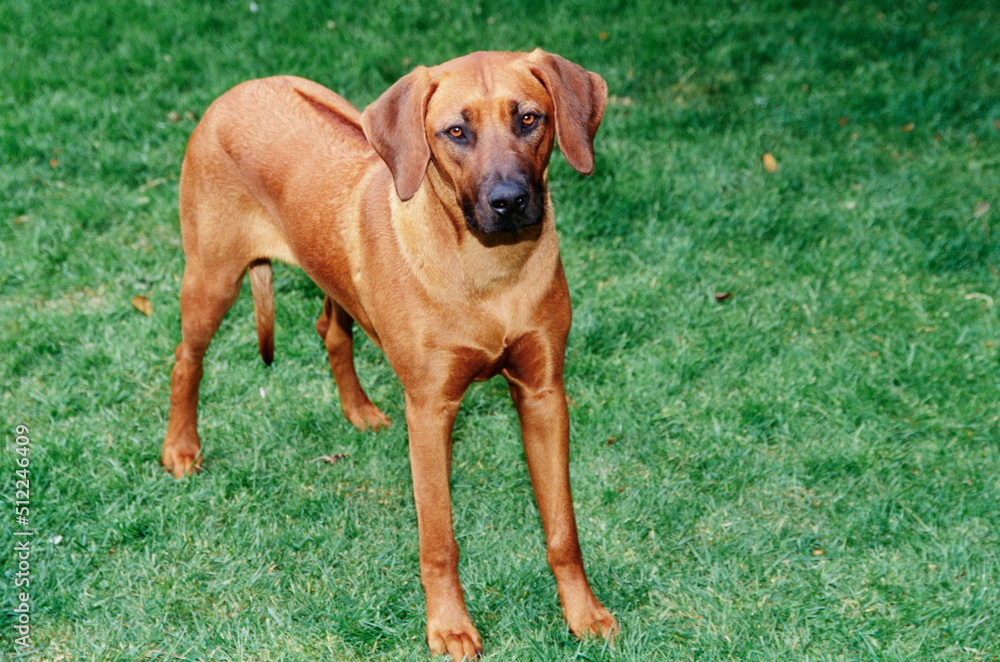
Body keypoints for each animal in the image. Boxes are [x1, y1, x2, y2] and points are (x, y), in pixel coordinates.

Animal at [161, 50, 612, 660]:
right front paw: (449, 627)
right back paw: (181, 448)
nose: (510, 201)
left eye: (529, 119)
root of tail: (240, 90)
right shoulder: (429, 410)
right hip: (210, 280)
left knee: (330, 328)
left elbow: (563, 529)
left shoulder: (544, 394)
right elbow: (439, 540)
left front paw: (582, 613)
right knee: (186, 359)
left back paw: (358, 411)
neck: (492, 271)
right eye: (455, 131)